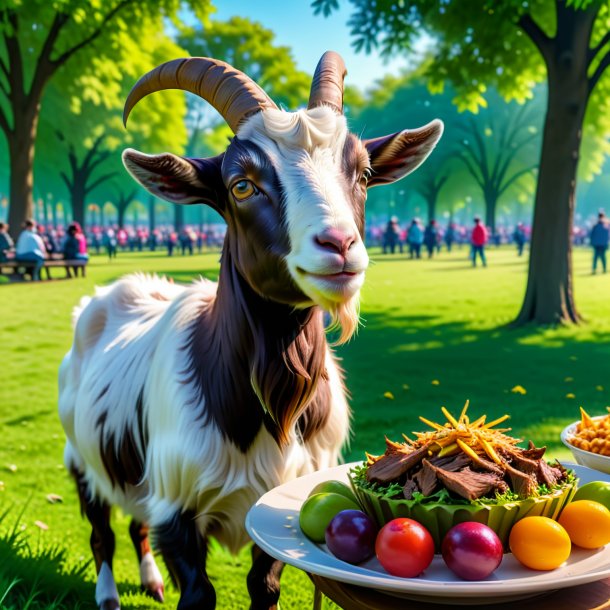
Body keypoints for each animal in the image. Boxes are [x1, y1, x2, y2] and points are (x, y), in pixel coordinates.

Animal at [58, 52, 442, 608]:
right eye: (242, 185)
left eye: (365, 173)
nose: (340, 245)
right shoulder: (177, 506)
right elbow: (197, 592)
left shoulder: (276, 501)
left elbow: (263, 586)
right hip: (81, 456)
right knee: (102, 530)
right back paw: (109, 595)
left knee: (134, 522)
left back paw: (150, 581)